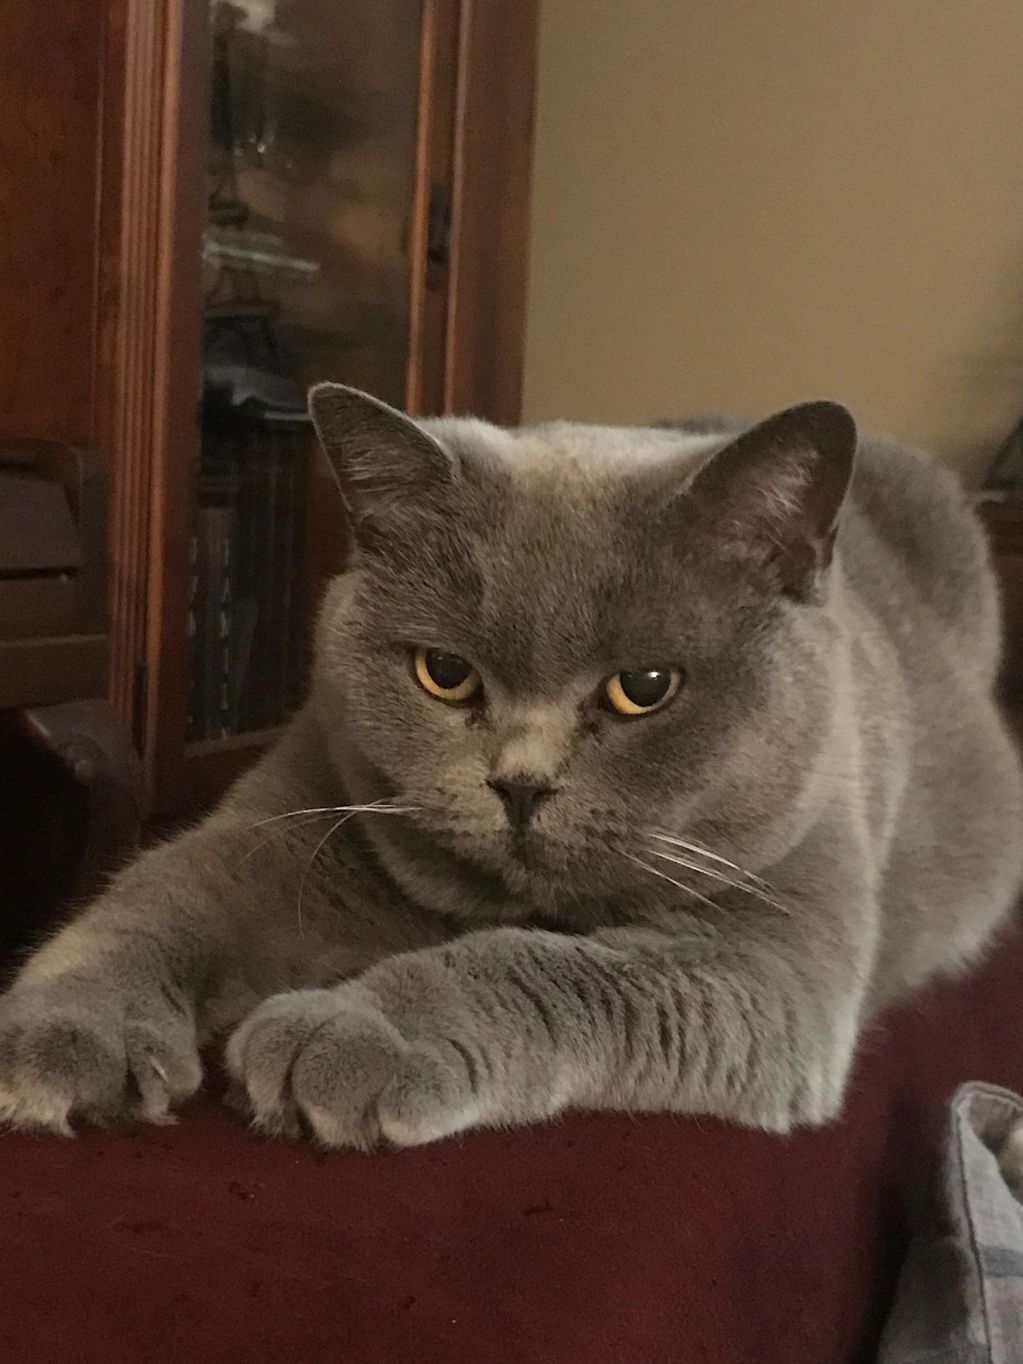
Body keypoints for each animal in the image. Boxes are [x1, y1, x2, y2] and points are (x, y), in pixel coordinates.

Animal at [2, 390, 1023, 1145]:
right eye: (444, 672)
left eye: (644, 688)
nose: (518, 783)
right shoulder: (283, 827)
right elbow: (153, 902)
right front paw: (60, 1034)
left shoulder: (773, 956)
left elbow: (542, 967)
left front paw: (350, 1032)